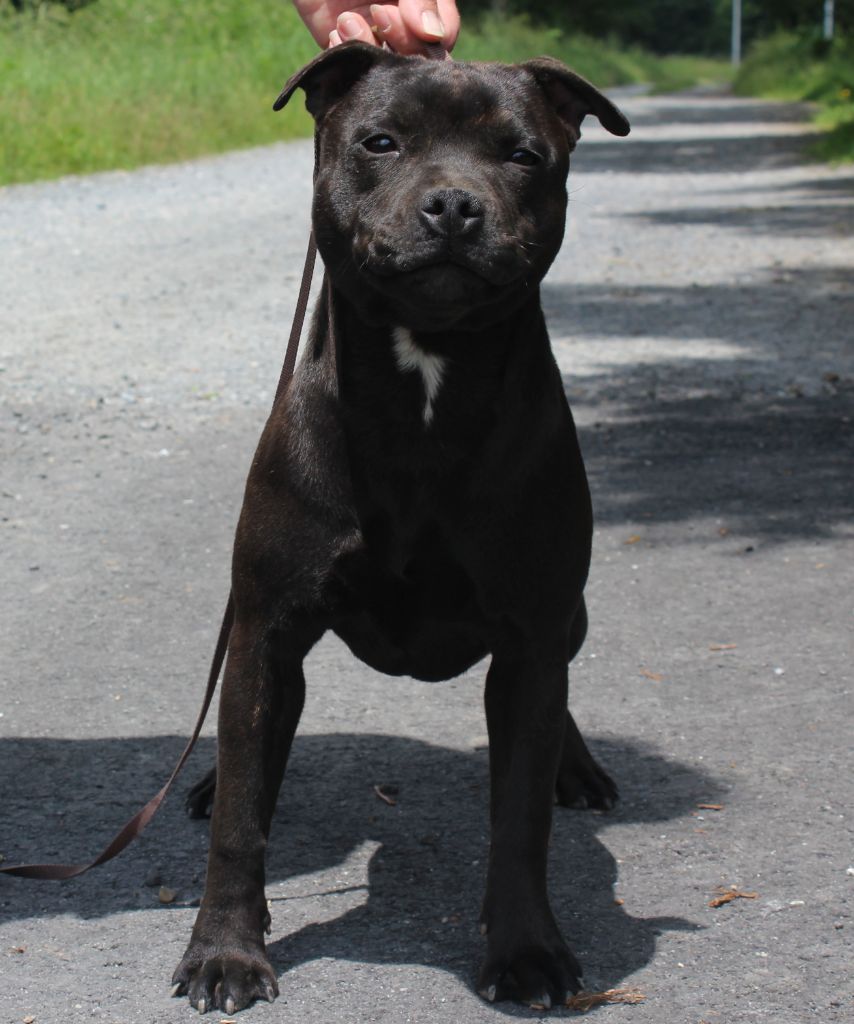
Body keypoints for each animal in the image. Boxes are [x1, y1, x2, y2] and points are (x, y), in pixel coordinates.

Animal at [173, 41, 626, 1015]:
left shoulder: (531, 635)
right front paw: (226, 951)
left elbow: (519, 818)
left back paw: (577, 770)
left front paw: (528, 951)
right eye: (381, 141)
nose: (454, 204)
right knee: (248, 753)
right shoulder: (267, 628)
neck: (424, 374)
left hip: (566, 620)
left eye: (522, 155)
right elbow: (241, 822)